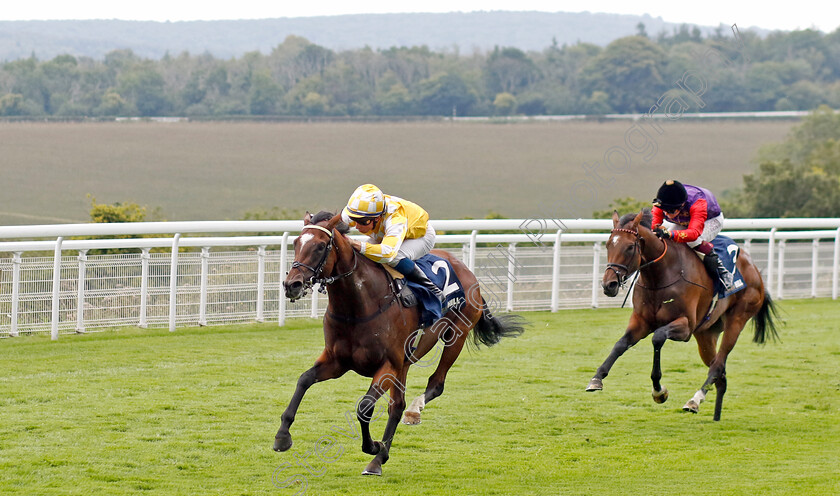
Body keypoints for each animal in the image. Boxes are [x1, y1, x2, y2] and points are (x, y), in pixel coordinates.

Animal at [276, 211, 524, 474]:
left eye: (321, 246)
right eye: (296, 243)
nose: (292, 284)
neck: (358, 306)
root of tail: (467, 270)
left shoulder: (387, 365)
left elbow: (364, 407)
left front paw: (373, 446)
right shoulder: (337, 361)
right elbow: (304, 380)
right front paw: (282, 436)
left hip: (455, 335)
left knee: (435, 385)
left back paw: (410, 416)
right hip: (405, 363)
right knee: (397, 406)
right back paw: (379, 459)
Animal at [588, 207, 776, 420]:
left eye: (629, 247)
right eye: (608, 245)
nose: (608, 285)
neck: (660, 276)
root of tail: (755, 269)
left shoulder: (685, 326)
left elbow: (657, 337)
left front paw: (659, 391)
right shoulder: (641, 321)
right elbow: (620, 344)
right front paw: (596, 378)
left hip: (737, 320)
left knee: (718, 365)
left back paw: (695, 400)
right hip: (706, 333)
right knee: (721, 375)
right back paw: (715, 415)